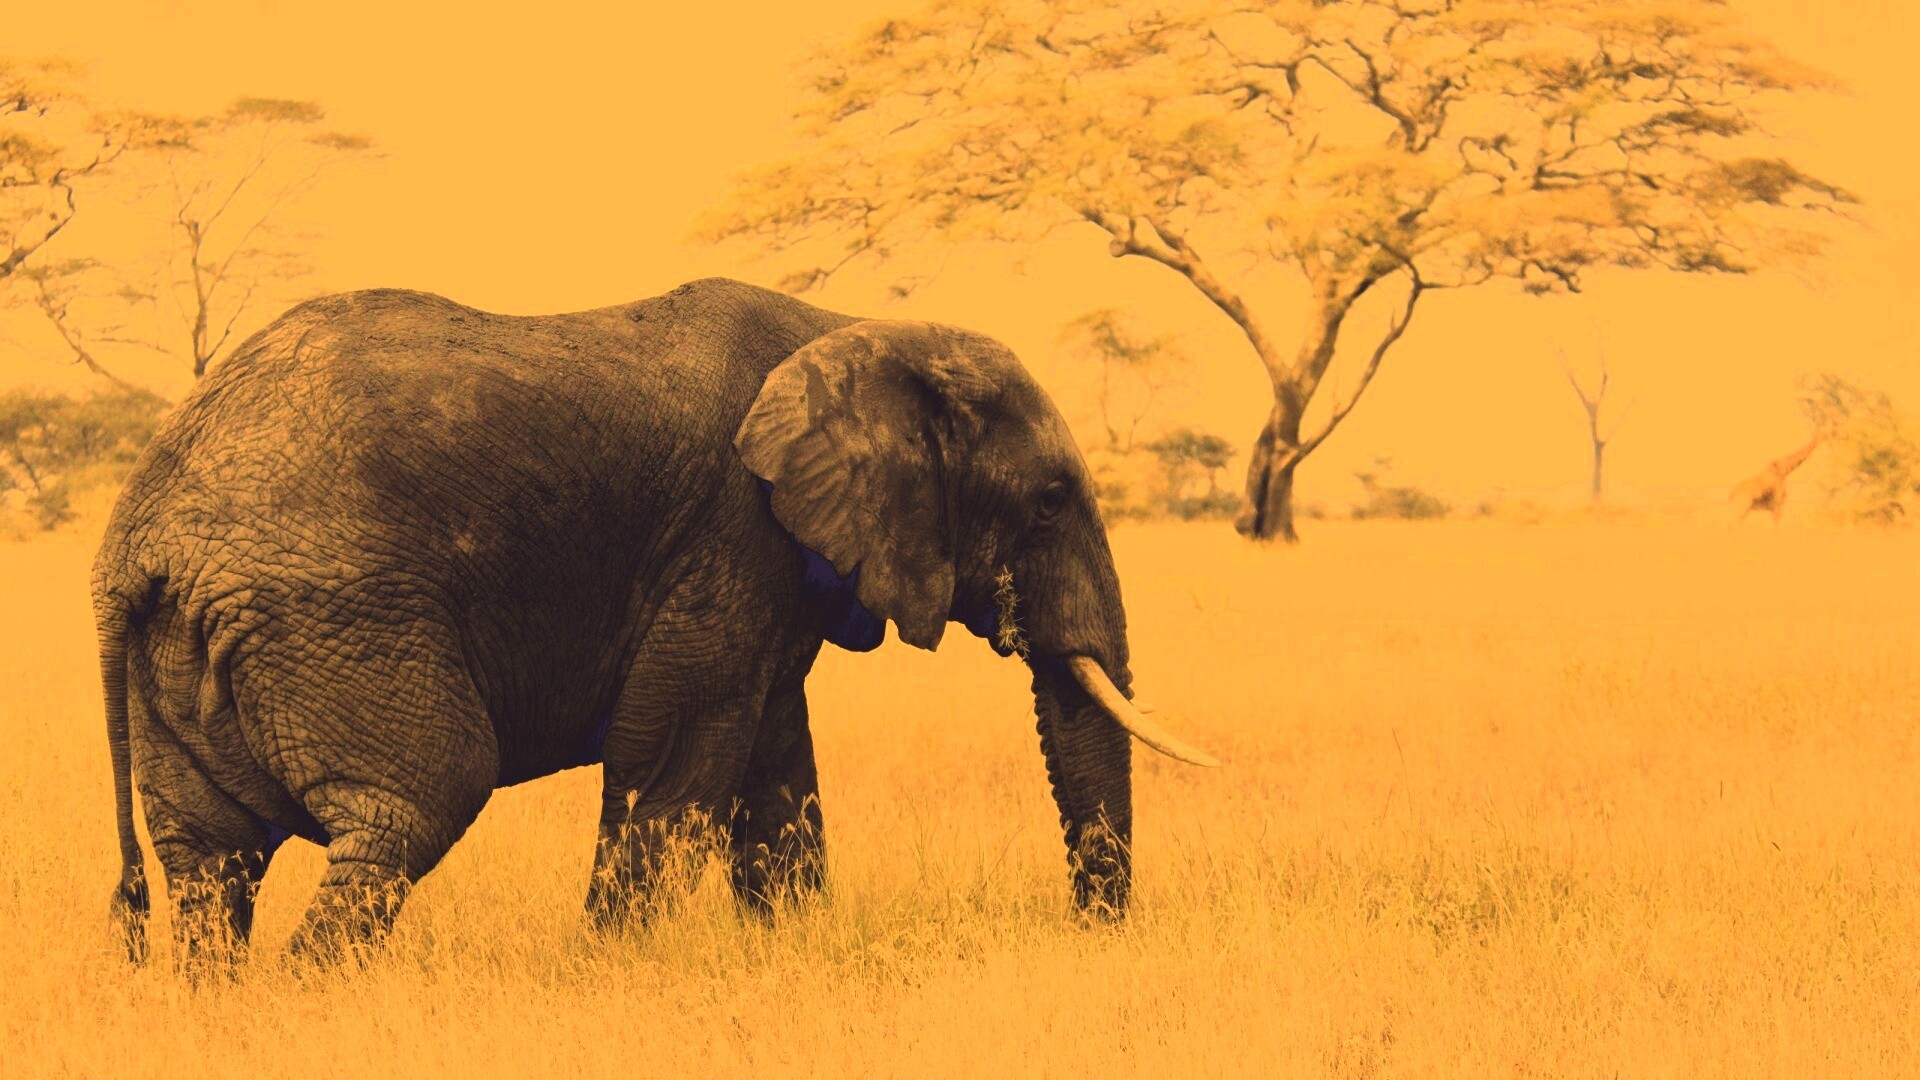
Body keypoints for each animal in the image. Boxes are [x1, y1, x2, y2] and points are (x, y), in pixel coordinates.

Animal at [93, 277, 1217, 968]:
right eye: (1049, 501)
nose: (1092, 936)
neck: (851, 327)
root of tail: (134, 541)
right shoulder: (729, 529)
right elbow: (675, 753)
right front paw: (611, 969)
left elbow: (773, 764)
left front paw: (791, 952)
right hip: (333, 615)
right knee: (411, 806)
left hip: (194, 647)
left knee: (210, 862)